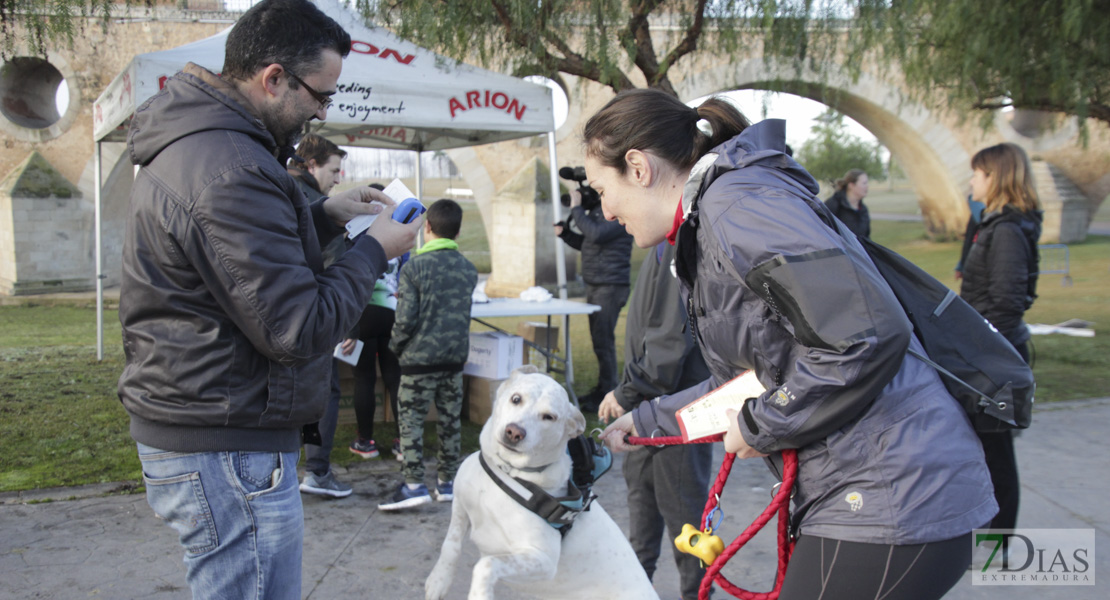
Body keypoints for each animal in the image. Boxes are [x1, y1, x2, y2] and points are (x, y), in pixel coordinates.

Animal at [424, 365, 657, 598]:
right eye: (516, 399)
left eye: (549, 417)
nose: (514, 432)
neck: (509, 473)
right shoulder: (460, 505)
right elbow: (451, 545)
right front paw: (438, 581)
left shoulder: (542, 561)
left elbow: (486, 565)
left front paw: (479, 594)